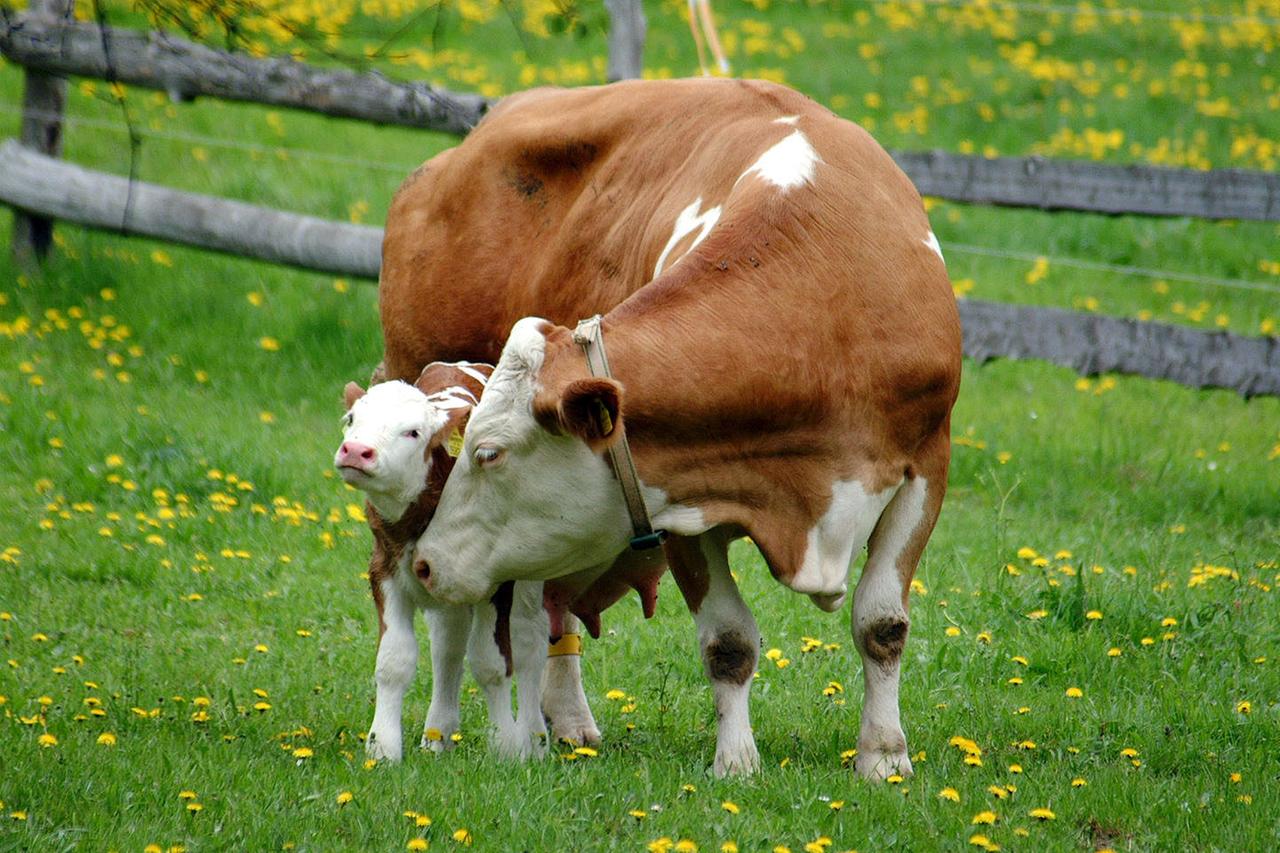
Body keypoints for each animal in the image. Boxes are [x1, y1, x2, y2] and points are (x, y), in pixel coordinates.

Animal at [411, 77, 963, 780]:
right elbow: (728, 642)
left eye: (487, 453)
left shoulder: (926, 469)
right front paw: (736, 762)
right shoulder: (676, 497)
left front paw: (885, 757)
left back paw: (564, 722)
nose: (427, 562)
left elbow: (882, 624)